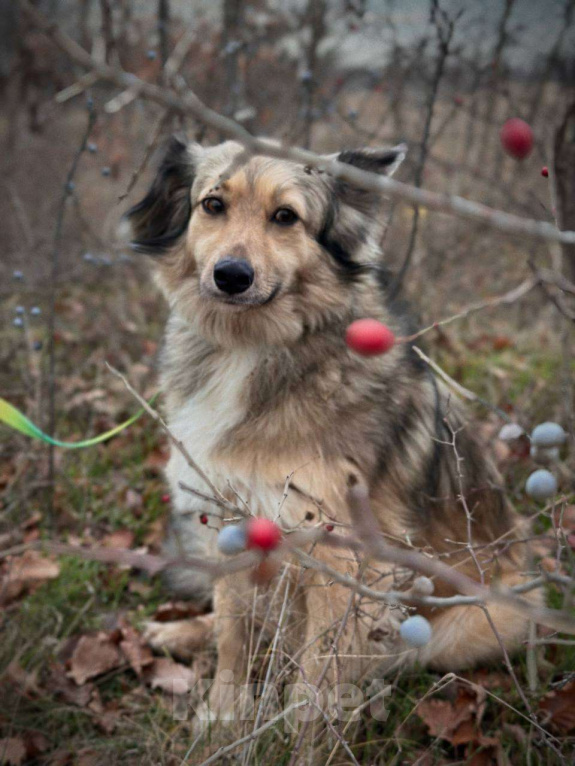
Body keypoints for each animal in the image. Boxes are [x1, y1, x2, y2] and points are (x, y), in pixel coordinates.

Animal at [128, 136, 536, 736]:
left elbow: (318, 660)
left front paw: (299, 731)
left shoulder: (341, 548)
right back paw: (177, 632)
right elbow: (233, 632)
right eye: (212, 205)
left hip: (481, 618)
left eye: (285, 217)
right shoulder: (230, 515)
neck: (252, 348)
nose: (230, 275)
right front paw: (224, 713)